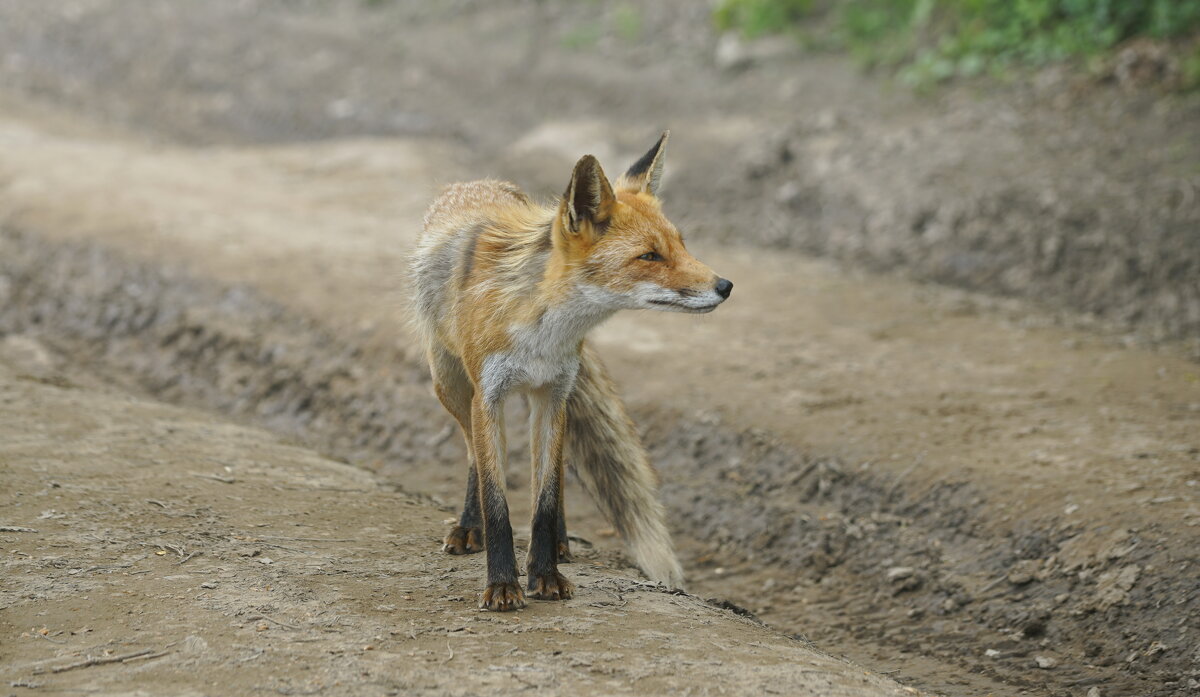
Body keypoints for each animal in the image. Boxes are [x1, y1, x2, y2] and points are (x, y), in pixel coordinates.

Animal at [412, 131, 729, 609]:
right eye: (649, 256)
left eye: (681, 245)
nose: (725, 286)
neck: (542, 332)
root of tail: (474, 182)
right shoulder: (489, 397)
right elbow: (496, 498)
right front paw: (502, 584)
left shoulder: (554, 393)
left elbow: (544, 500)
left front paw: (544, 574)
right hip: (450, 385)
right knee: (472, 455)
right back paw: (469, 527)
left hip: (554, 398)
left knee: (555, 475)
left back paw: (558, 543)